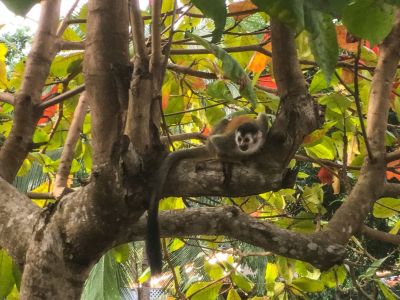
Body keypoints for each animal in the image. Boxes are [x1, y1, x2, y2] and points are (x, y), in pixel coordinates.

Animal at [147, 112, 268, 274]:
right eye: (240, 139)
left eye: (246, 140)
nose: (242, 146)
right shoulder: (229, 142)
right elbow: (217, 143)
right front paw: (235, 160)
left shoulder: (262, 128)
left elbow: (263, 117)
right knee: (218, 134)